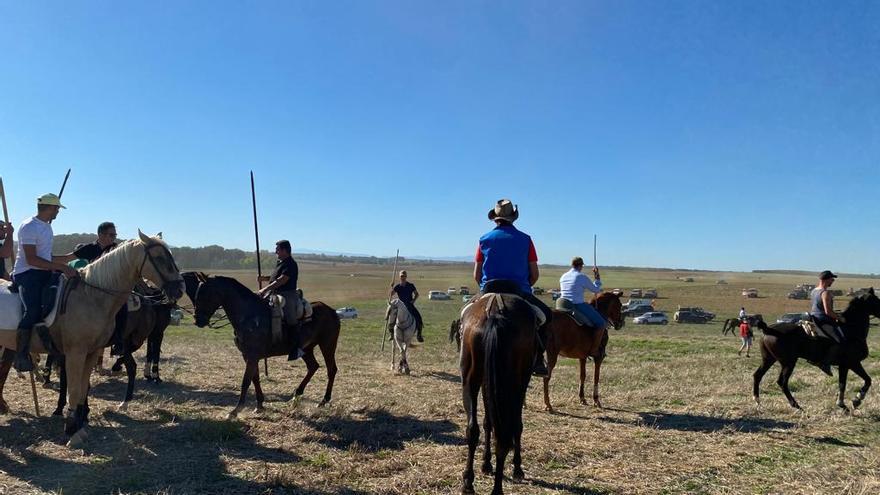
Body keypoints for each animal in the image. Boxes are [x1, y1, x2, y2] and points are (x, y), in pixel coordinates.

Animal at [0, 231, 181, 444]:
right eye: (160, 258)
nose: (180, 288)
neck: (91, 296)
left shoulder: (91, 352)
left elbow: (82, 388)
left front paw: (78, 423)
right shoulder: (75, 353)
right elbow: (74, 389)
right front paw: (72, 428)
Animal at [182, 272, 340, 418]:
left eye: (204, 294)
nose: (198, 320)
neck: (249, 316)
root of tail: (332, 311)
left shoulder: (252, 356)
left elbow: (246, 381)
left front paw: (236, 410)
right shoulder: (249, 355)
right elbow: (255, 378)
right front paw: (259, 405)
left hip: (327, 345)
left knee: (331, 370)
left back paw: (324, 400)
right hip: (307, 349)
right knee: (313, 367)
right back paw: (297, 395)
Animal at [460, 288, 536, 495]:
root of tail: (495, 312)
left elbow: (488, 423)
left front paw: (486, 464)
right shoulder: (521, 383)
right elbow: (516, 425)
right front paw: (517, 467)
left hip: (472, 379)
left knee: (474, 430)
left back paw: (468, 482)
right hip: (513, 383)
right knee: (506, 431)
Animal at [748, 288, 880, 412]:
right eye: (876, 300)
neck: (850, 329)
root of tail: (768, 330)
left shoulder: (845, 365)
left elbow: (845, 383)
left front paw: (844, 404)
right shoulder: (851, 363)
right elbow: (865, 380)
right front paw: (856, 400)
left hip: (769, 359)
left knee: (758, 375)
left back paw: (757, 401)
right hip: (788, 363)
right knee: (782, 382)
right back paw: (796, 406)